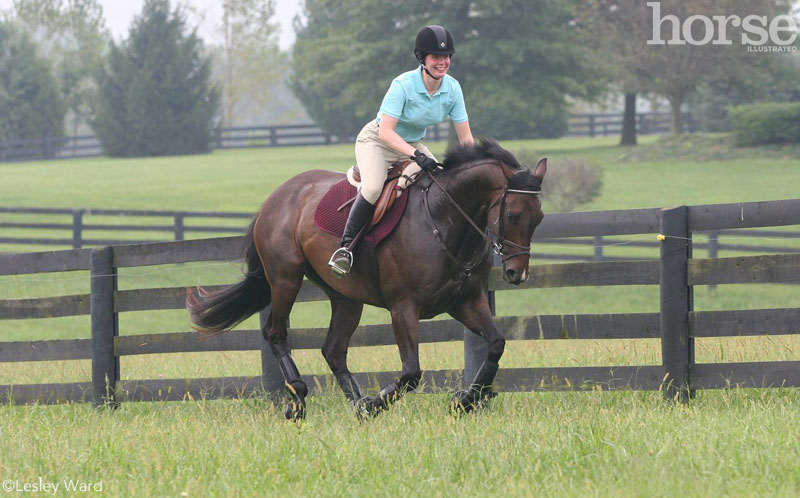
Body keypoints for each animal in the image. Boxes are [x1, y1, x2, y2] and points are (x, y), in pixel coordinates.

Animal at [187, 139, 548, 420]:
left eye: (540, 218)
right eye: (513, 215)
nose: (517, 274)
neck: (444, 220)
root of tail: (275, 197)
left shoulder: (466, 302)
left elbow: (496, 344)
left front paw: (466, 400)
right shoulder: (404, 307)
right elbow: (411, 372)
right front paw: (377, 402)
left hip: (346, 297)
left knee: (333, 350)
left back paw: (357, 405)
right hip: (285, 279)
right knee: (275, 334)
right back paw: (299, 399)